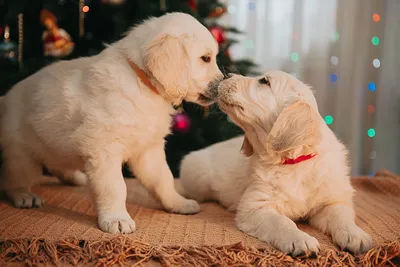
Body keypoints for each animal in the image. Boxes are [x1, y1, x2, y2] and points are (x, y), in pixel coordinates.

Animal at [0, 12, 222, 234]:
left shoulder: (148, 149)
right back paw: (25, 195)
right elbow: (115, 187)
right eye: (205, 58)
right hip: (21, 152)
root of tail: (4, 99)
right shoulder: (103, 149)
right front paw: (116, 218)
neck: (142, 84)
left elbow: (163, 179)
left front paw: (178, 203)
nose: (222, 84)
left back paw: (75, 177)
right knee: (14, 179)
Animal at [180, 71, 374, 258]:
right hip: (198, 180)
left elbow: (341, 216)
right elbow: (281, 221)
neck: (293, 162)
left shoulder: (332, 200)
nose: (226, 75)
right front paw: (300, 240)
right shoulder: (256, 206)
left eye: (264, 81)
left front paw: (355, 235)